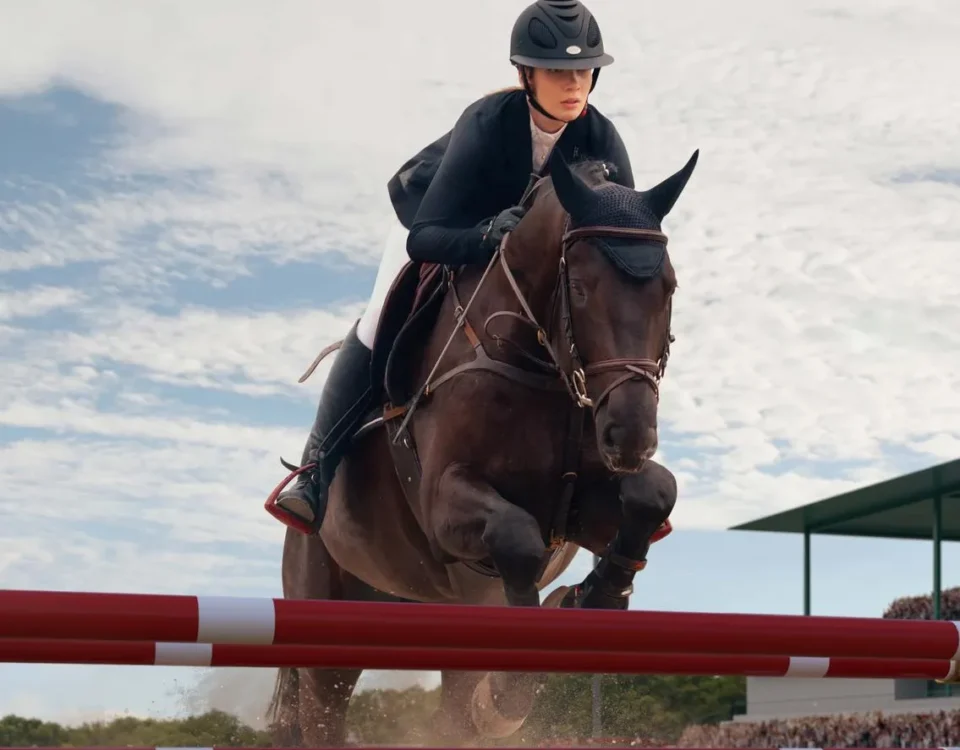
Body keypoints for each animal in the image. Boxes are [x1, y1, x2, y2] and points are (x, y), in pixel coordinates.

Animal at [266, 147, 699, 747]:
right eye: (580, 288)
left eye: (670, 288)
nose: (632, 436)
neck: (540, 364)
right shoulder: (446, 508)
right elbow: (515, 536)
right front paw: (507, 694)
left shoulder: (584, 507)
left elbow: (653, 494)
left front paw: (595, 597)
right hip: (324, 606)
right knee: (321, 714)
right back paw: (303, 493)